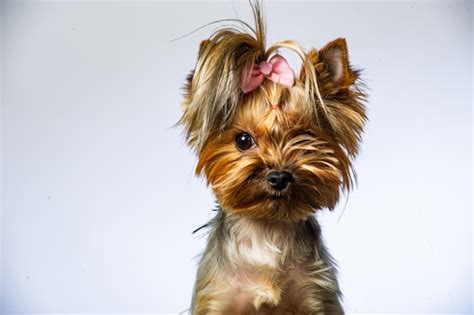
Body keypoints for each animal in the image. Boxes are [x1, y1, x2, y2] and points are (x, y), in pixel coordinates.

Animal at [180, 3, 368, 315]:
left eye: (303, 135)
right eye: (243, 140)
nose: (279, 177)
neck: (268, 232)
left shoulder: (317, 297)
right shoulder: (218, 298)